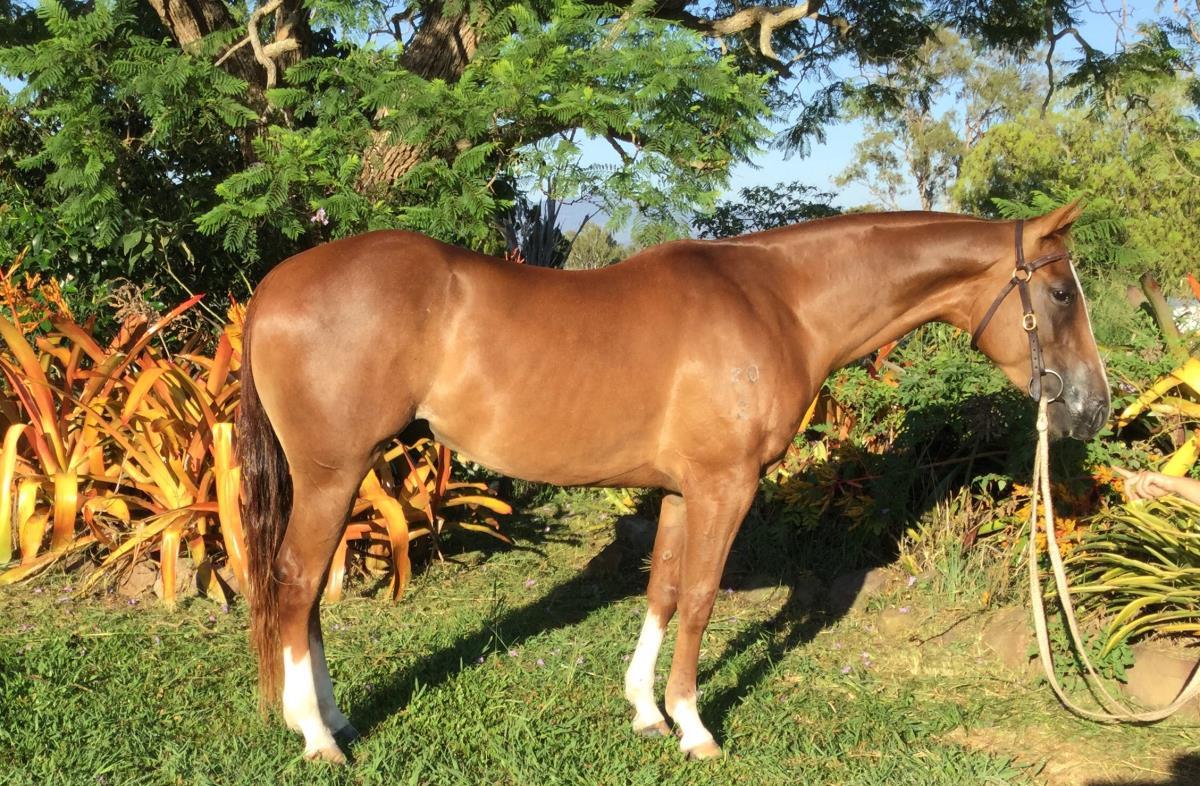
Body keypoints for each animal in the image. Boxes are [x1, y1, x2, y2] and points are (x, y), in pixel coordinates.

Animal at [237, 202, 1110, 763]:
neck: (779, 302)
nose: (1094, 406)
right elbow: (698, 600)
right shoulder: (728, 486)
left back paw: (334, 720)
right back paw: (316, 737)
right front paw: (695, 729)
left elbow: (659, 591)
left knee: (306, 595)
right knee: (295, 582)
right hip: (332, 474)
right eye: (1061, 292)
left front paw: (647, 713)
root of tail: (274, 288)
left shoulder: (684, 491)